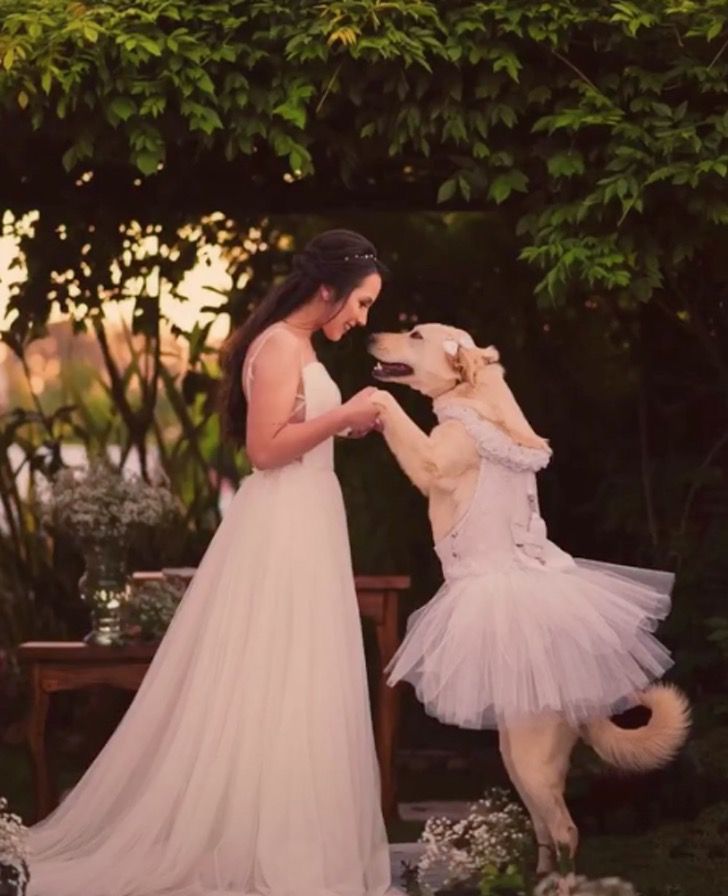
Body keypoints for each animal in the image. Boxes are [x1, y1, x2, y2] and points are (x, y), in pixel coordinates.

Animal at [366, 324, 692, 876]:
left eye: (414, 333)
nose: (369, 335)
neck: (475, 401)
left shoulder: (430, 462)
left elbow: (390, 407)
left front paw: (366, 401)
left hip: (529, 760)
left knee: (566, 830)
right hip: (517, 759)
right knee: (545, 830)